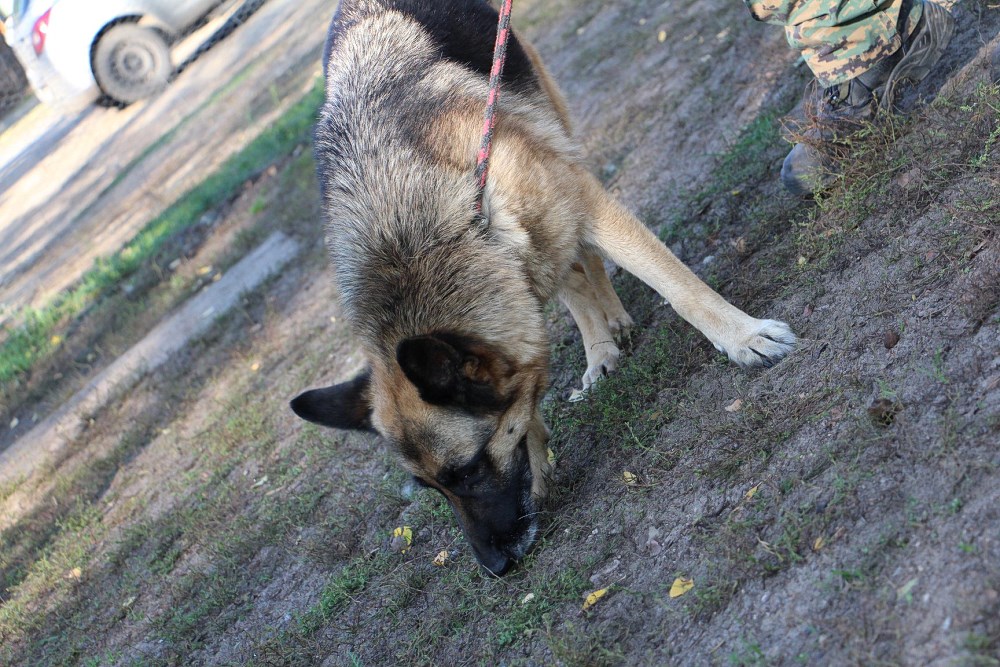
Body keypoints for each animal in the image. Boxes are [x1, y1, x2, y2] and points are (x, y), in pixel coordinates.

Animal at [291, 0, 795, 575]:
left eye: (466, 472)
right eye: (432, 488)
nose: (494, 568)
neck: (415, 235)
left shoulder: (581, 199)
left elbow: (676, 285)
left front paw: (745, 337)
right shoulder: (512, 268)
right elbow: (528, 380)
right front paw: (542, 462)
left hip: (555, 134)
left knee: (584, 256)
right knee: (570, 275)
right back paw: (601, 345)